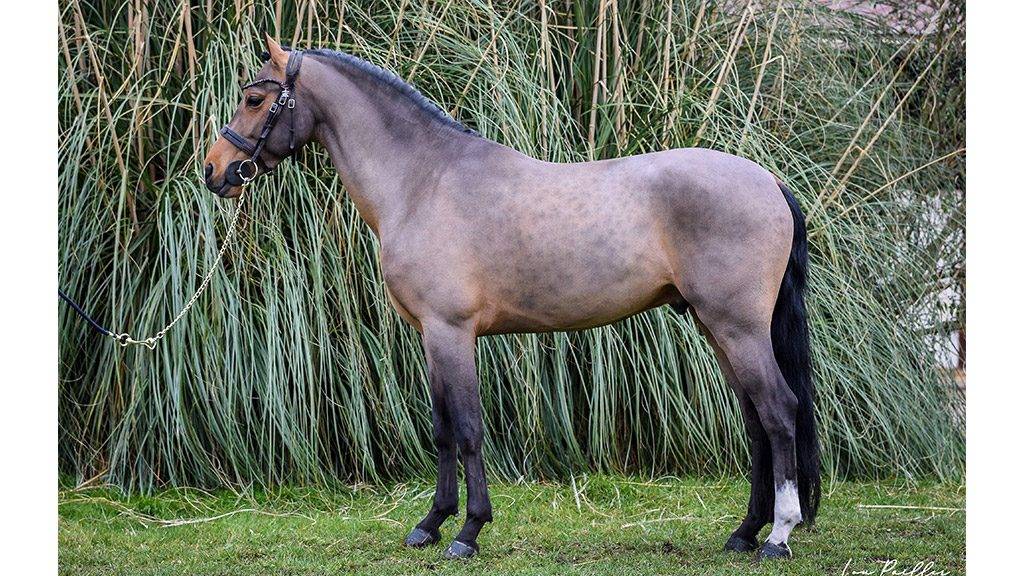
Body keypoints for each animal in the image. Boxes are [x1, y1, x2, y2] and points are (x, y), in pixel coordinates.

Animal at [203, 36, 821, 561]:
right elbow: (443, 429)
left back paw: (779, 535)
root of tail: (769, 182)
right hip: (717, 329)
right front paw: (431, 524)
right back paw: (744, 532)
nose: (214, 170)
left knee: (779, 411)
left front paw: (468, 531)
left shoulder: (452, 332)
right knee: (756, 423)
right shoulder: (430, 337)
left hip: (738, 329)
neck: (422, 181)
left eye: (255, 98)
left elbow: (469, 428)